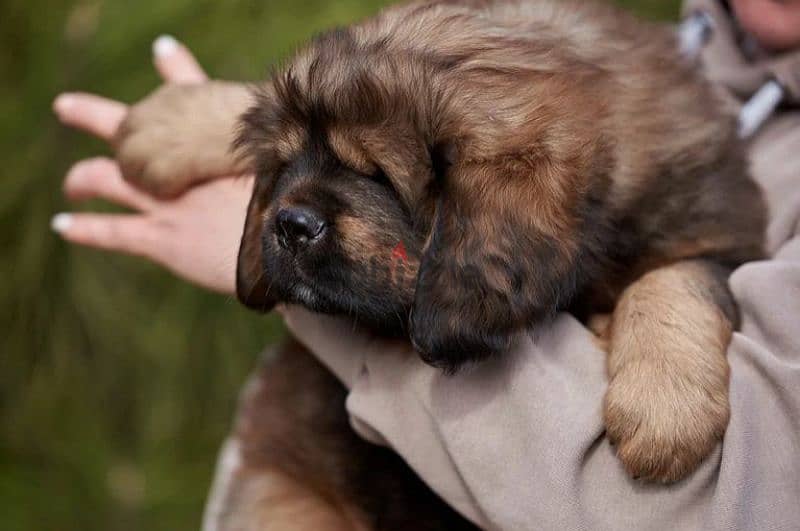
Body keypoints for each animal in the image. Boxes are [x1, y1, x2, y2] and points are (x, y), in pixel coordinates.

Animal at [114, 0, 768, 524]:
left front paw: (665, 410)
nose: (289, 224)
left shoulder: (720, 237)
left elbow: (673, 281)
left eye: (377, 175)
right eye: (289, 161)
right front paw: (172, 123)